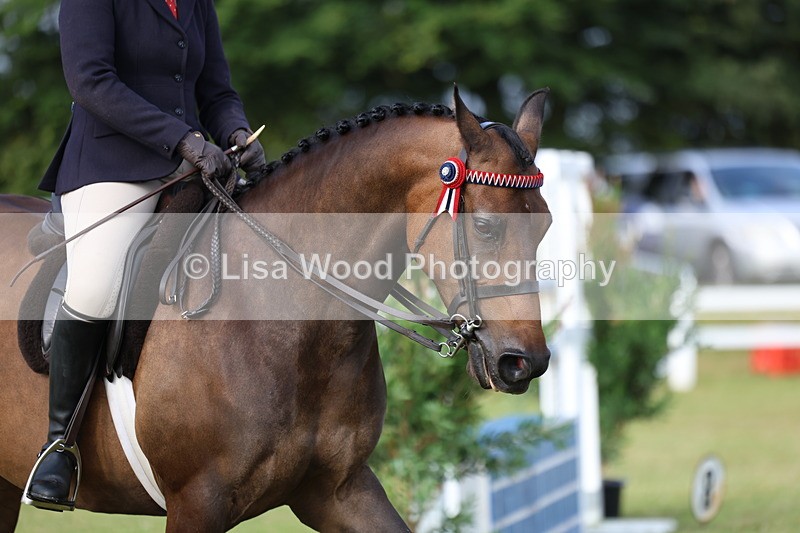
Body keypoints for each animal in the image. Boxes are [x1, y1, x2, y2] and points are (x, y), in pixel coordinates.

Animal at [0, 86, 552, 532]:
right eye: (486, 227)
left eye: (545, 225)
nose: (524, 363)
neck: (287, 317)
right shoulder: (195, 501)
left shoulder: (339, 491)